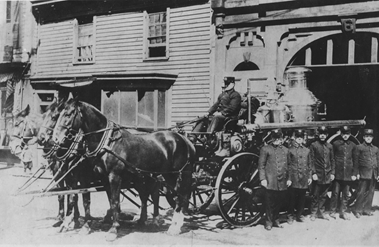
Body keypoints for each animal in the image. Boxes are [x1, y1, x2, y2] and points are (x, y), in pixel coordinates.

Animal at [53, 99, 196, 241]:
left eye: (69, 114)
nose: (56, 139)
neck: (108, 143)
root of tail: (184, 139)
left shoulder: (114, 176)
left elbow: (114, 201)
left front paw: (113, 230)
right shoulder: (103, 179)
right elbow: (103, 201)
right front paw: (92, 226)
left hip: (177, 175)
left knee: (180, 195)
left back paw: (175, 227)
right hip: (158, 175)